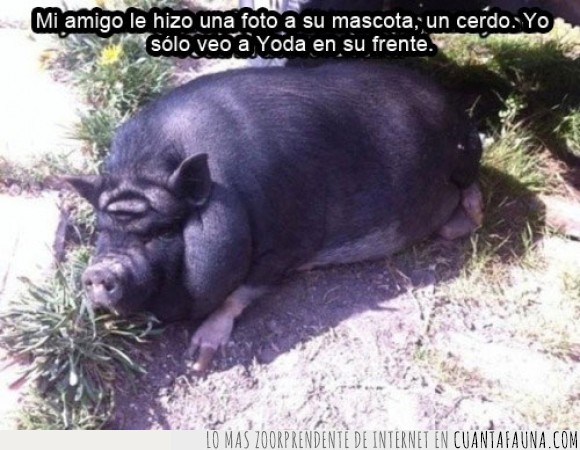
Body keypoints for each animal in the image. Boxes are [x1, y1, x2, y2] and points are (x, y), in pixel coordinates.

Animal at [62, 62, 483, 370]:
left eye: (162, 231)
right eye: (101, 229)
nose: (99, 272)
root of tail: (455, 106)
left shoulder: (285, 242)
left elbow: (241, 293)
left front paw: (198, 359)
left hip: (466, 152)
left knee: (471, 190)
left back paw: (472, 212)